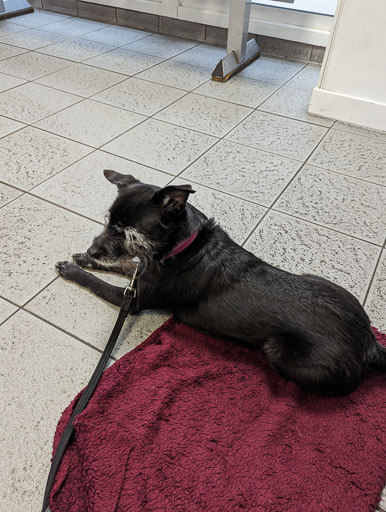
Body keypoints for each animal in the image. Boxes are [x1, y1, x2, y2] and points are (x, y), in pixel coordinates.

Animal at [57, 171, 386, 396]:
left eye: (129, 233)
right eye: (109, 222)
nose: (93, 250)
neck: (185, 246)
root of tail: (369, 343)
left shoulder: (137, 299)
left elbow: (103, 283)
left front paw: (75, 271)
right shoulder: (145, 272)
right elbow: (127, 265)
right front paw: (84, 260)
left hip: (280, 350)